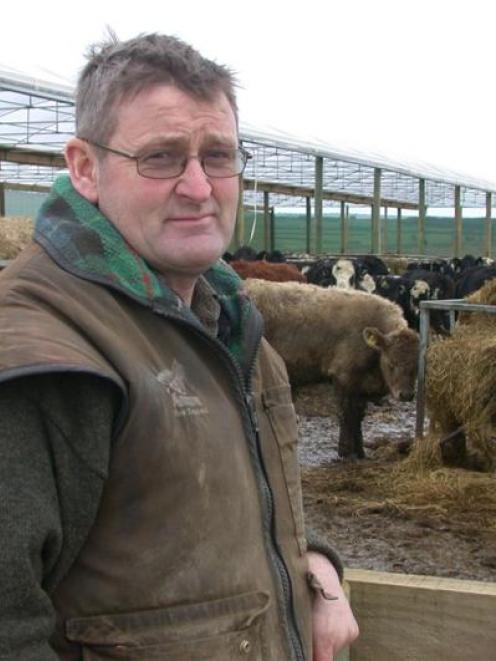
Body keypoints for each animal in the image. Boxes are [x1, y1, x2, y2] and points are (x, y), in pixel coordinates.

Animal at [244, 278, 418, 458]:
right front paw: (346, 451)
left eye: (417, 365)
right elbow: (347, 414)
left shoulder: (360, 387)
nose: (406, 394)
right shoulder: (343, 377)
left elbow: (358, 416)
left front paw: (360, 450)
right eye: (391, 363)